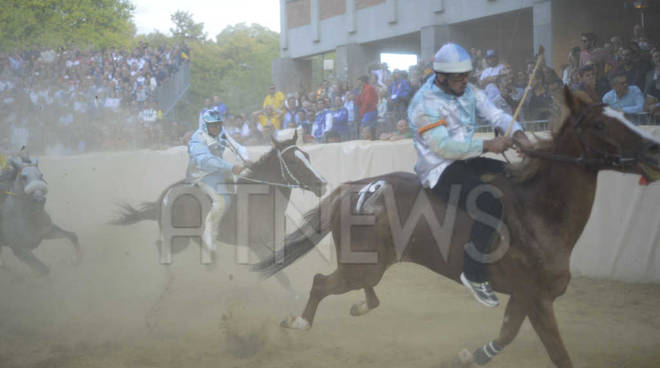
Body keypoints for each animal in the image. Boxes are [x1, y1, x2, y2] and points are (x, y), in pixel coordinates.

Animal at [255, 87, 660, 366]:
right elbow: (556, 352)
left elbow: (507, 334)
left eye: (622, 115)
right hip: (361, 266)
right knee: (320, 283)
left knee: (361, 289)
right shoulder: (536, 297)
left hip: (369, 263)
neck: (538, 212)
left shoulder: (524, 297)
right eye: (600, 123)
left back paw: (357, 307)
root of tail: (353, 188)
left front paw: (469, 355)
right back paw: (299, 323)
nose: (653, 150)